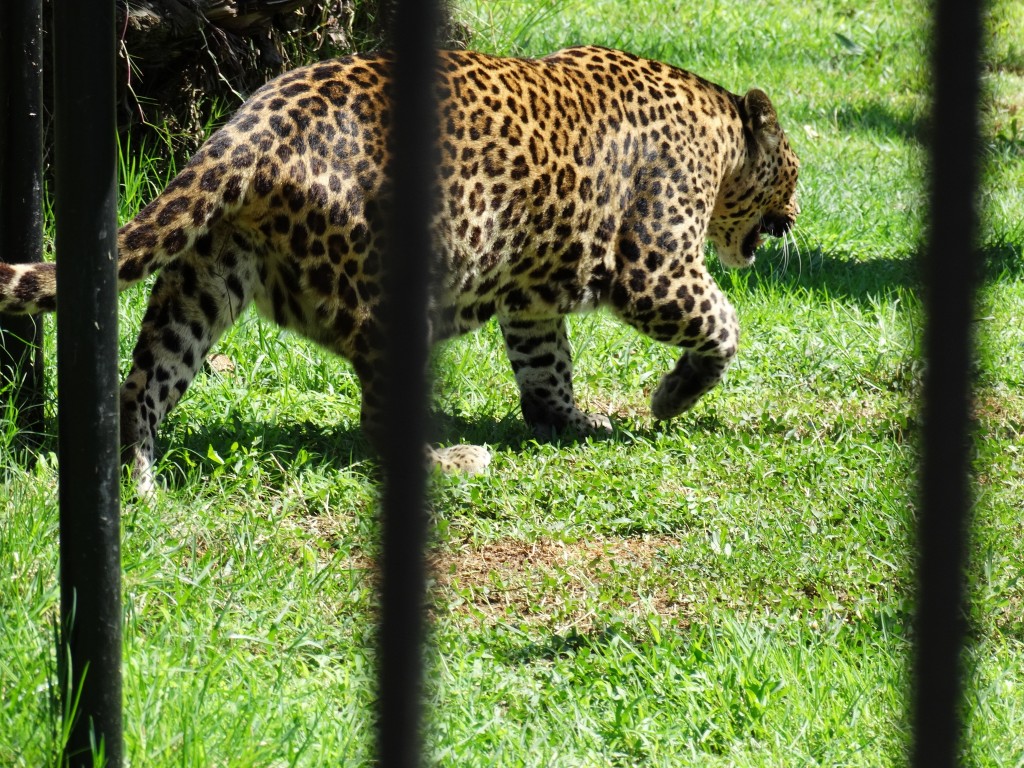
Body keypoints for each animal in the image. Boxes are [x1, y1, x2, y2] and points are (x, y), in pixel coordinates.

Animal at [0, 46, 798, 493]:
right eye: (790, 173)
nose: (792, 218)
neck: (722, 135)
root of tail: (246, 126)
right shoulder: (653, 262)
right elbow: (722, 321)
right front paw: (674, 397)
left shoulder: (532, 296)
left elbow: (546, 362)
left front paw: (567, 420)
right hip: (385, 293)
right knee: (380, 421)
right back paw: (453, 462)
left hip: (203, 277)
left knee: (143, 383)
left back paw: (140, 487)